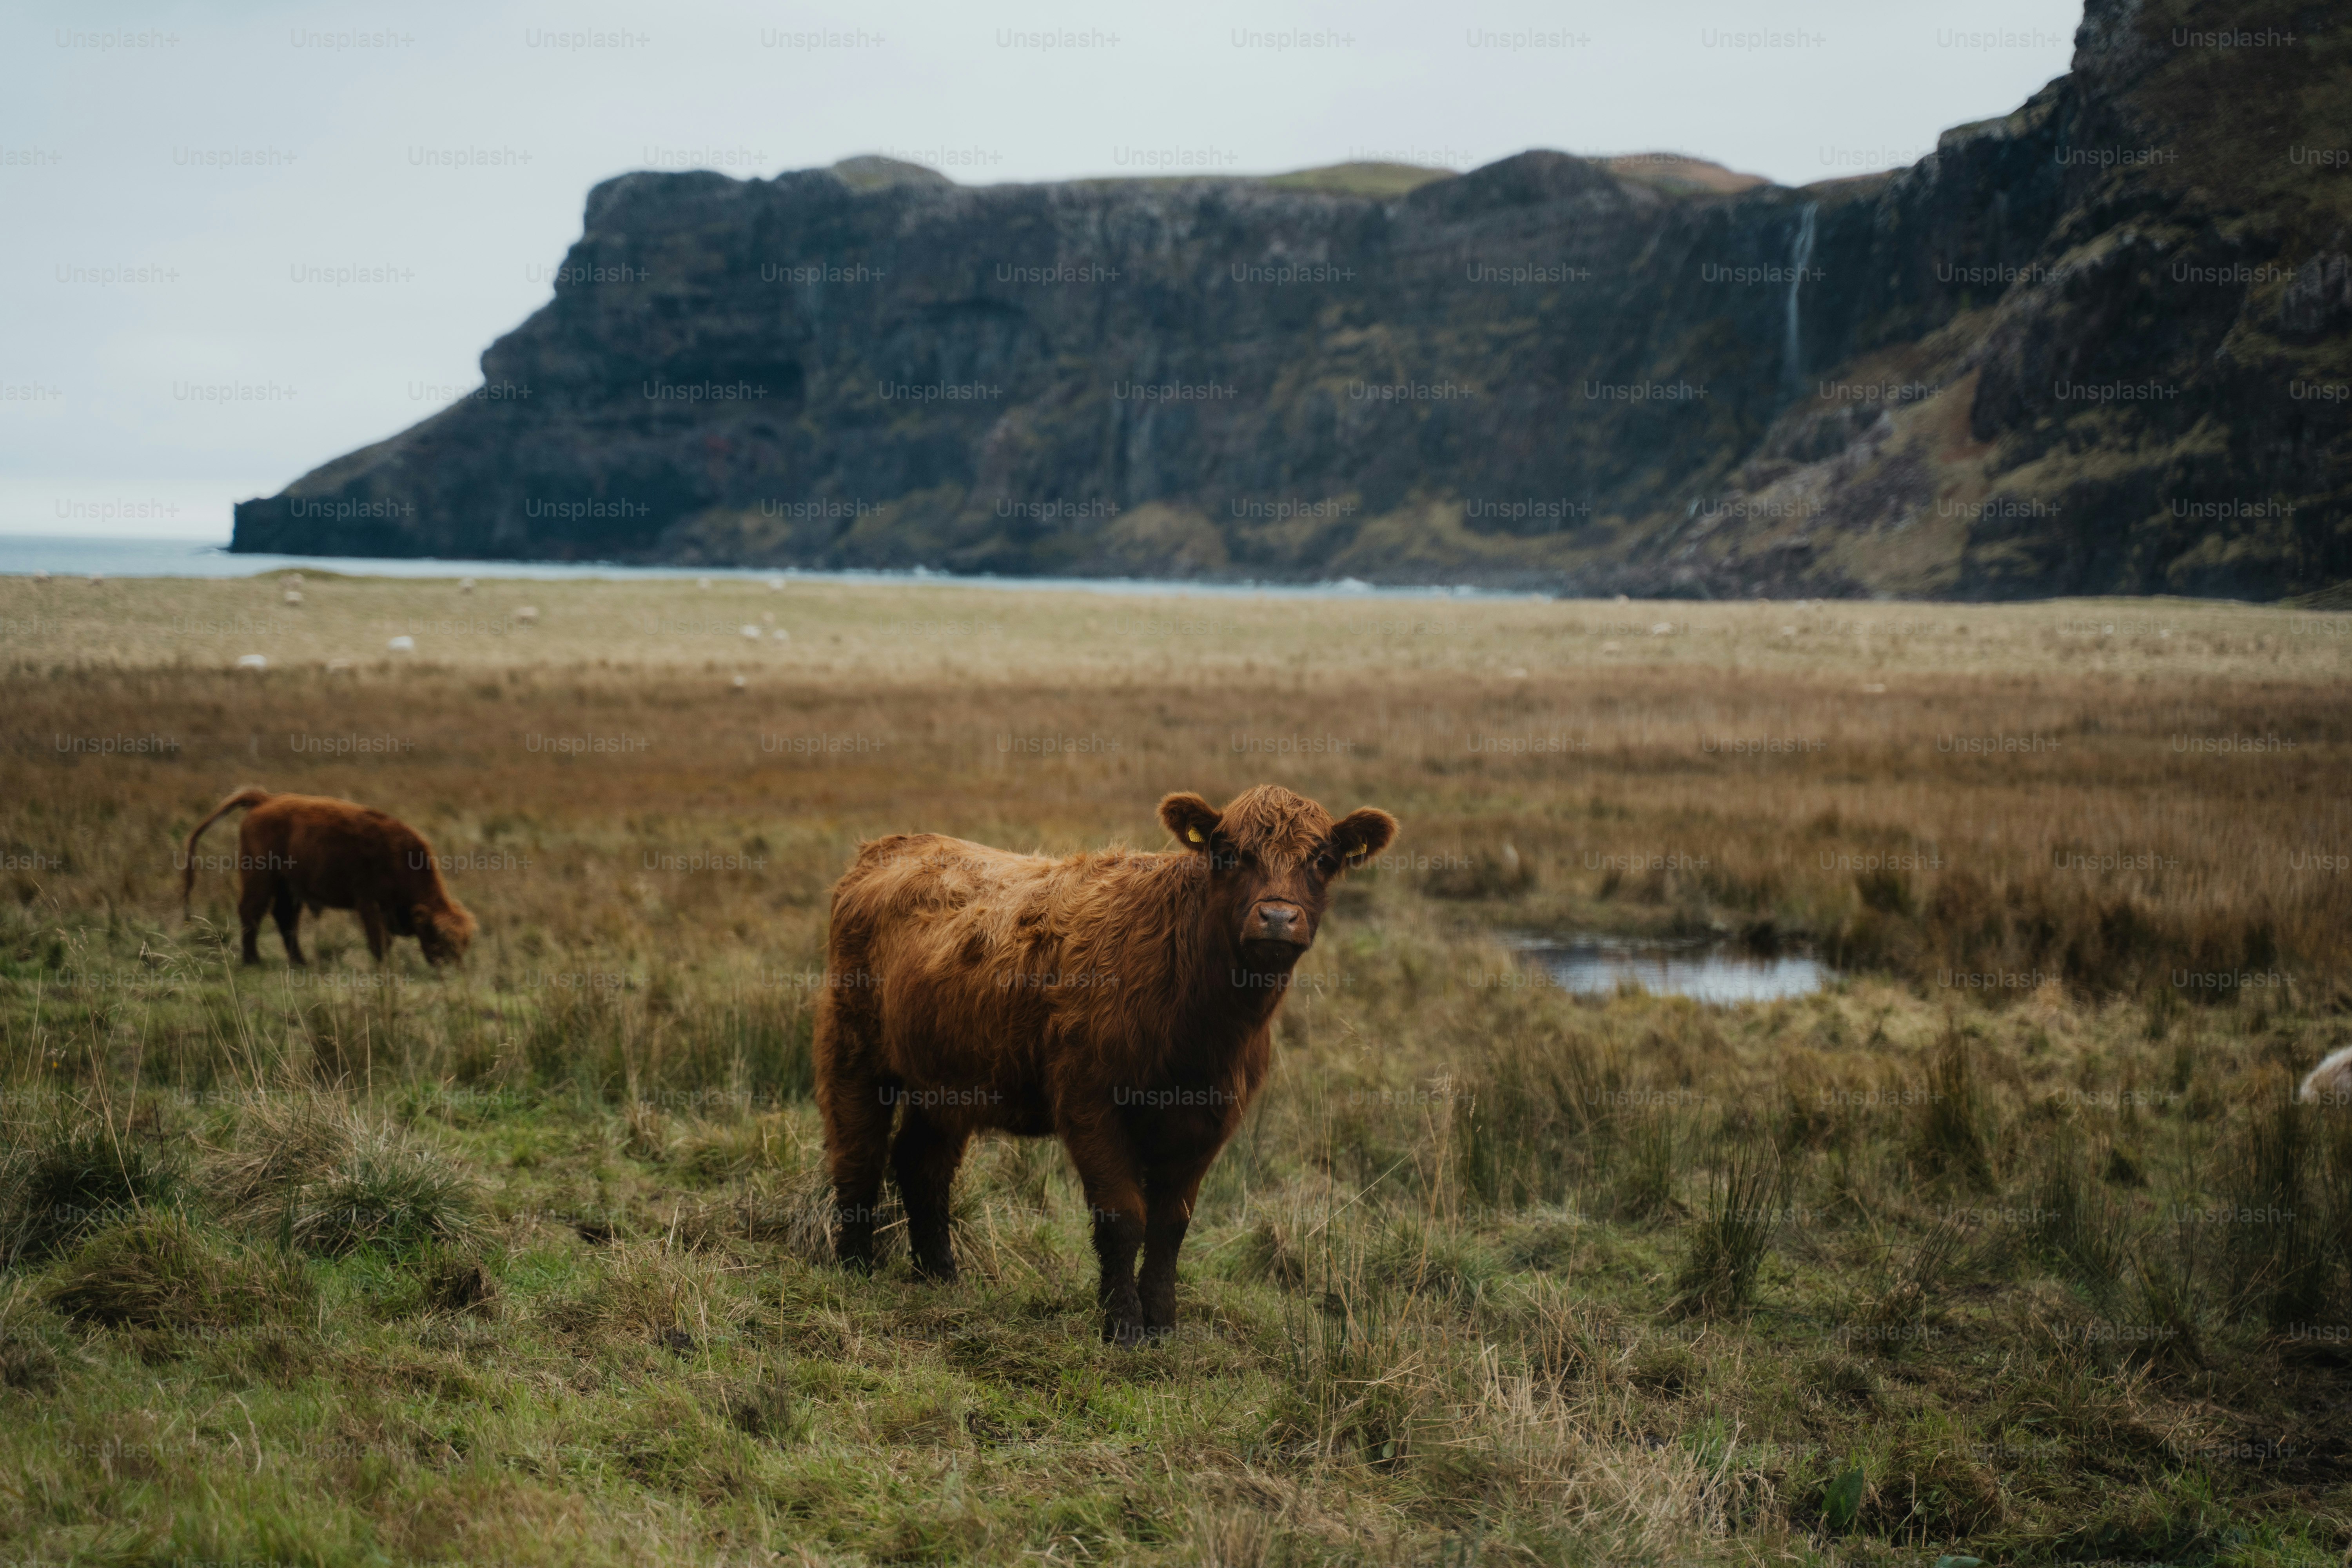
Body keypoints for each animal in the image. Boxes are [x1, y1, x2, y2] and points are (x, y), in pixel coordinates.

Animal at [180, 787, 476, 967]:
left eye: (464, 943)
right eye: (442, 939)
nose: (452, 969)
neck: (401, 857)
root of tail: (266, 799)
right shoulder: (368, 902)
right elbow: (379, 940)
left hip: (288, 886)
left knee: (285, 918)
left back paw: (300, 962)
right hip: (261, 877)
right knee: (252, 912)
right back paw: (253, 960)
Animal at [815, 784, 1397, 1344]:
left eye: (1322, 859)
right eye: (1230, 853)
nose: (1278, 918)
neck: (1204, 1025)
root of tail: (895, 844)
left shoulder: (1210, 1121)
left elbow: (1171, 1224)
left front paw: (1163, 1323)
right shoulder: (1091, 1102)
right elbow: (1124, 1217)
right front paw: (1123, 1326)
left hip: (947, 1079)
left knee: (923, 1164)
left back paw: (939, 1275)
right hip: (854, 1050)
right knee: (858, 1150)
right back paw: (855, 1265)